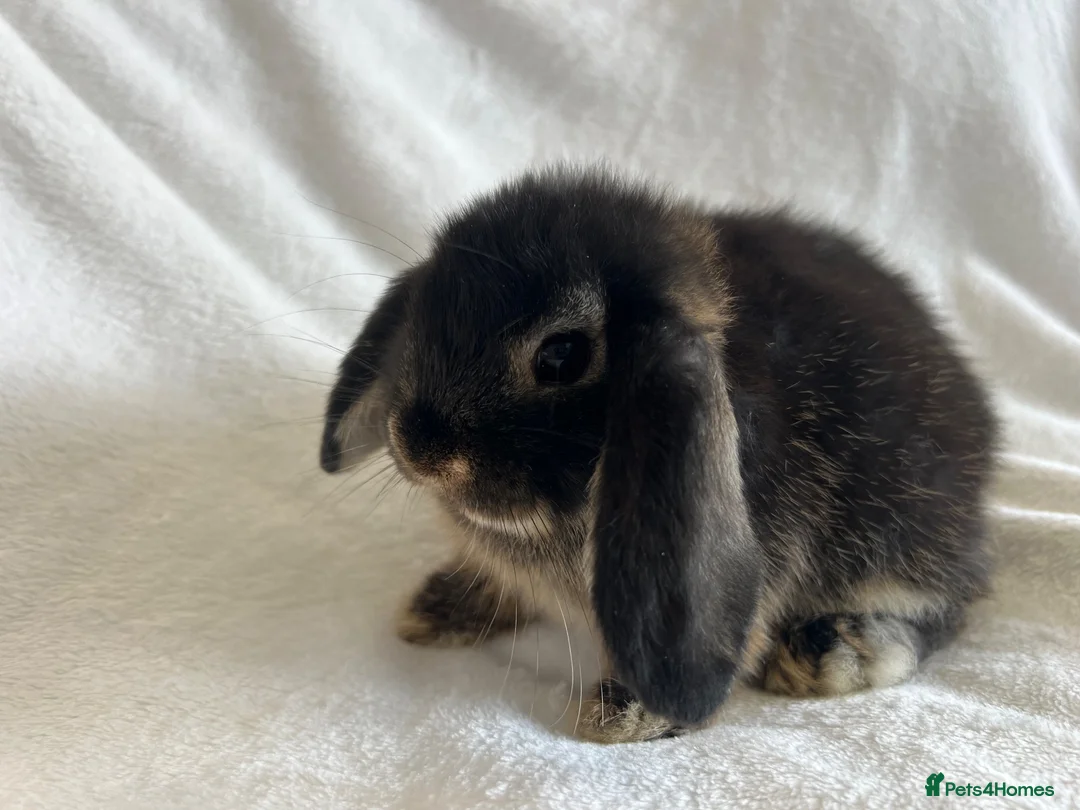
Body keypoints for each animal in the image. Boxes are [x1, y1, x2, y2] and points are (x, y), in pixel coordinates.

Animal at [319, 165, 998, 744]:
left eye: (560, 356)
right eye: (422, 313)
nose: (419, 448)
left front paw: (627, 715)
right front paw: (437, 609)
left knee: (948, 606)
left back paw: (834, 653)